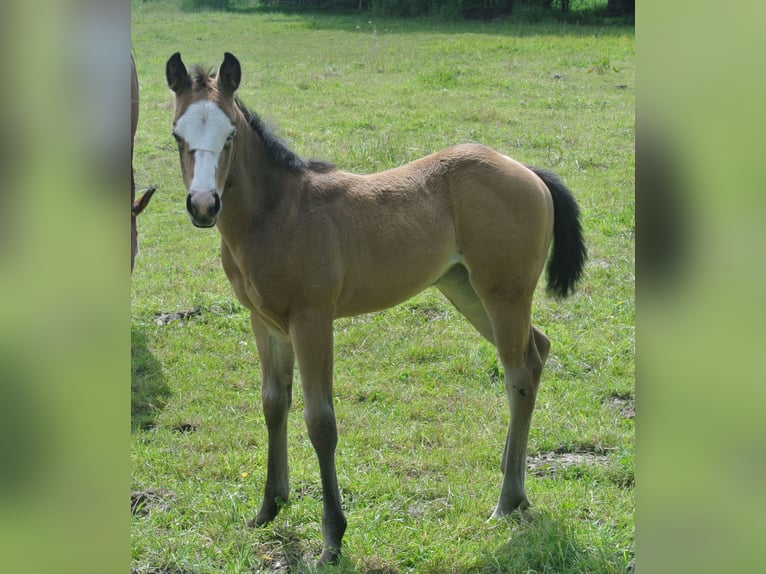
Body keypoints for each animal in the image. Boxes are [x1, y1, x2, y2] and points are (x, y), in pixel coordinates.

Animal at [166, 50, 588, 568]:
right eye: (177, 135)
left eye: (229, 136)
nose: (204, 205)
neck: (278, 213)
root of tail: (526, 170)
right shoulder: (264, 322)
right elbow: (273, 404)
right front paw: (269, 506)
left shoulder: (312, 319)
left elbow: (320, 421)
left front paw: (332, 537)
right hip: (465, 289)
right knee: (537, 350)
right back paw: (517, 489)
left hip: (503, 293)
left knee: (519, 375)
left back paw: (507, 499)